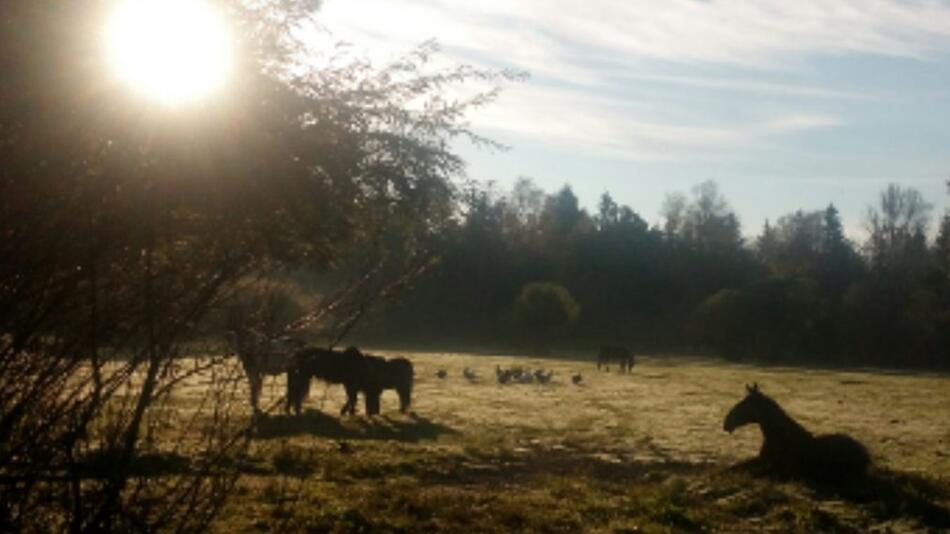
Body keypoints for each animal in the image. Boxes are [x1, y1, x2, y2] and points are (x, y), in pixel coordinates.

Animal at [724, 384, 872, 484]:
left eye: (745, 404)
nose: (726, 423)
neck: (779, 436)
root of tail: (865, 453)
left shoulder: (776, 469)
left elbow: (751, 472)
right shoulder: (761, 460)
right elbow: (735, 467)